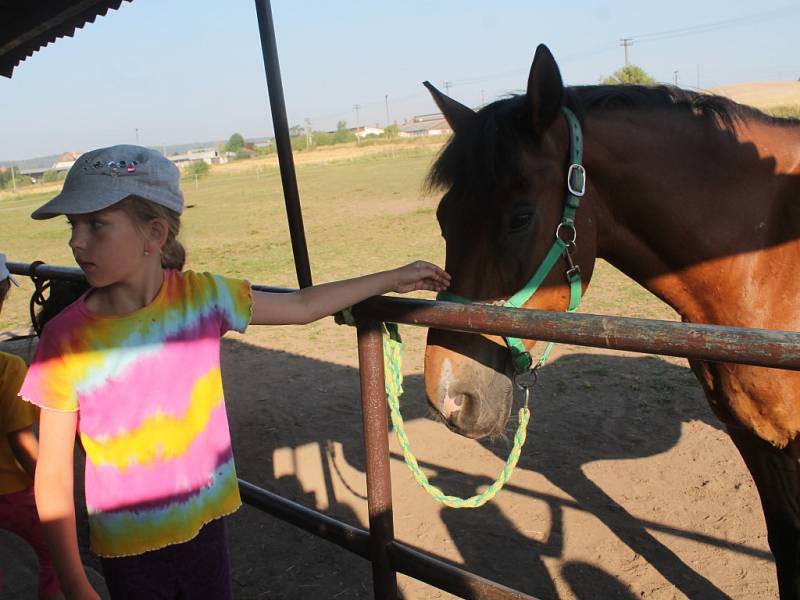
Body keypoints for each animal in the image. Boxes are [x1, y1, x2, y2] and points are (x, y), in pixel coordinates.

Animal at [428, 44, 800, 596]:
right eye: (443, 218)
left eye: (520, 217)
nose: (449, 395)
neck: (767, 259)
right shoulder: (753, 437)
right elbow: (784, 542)